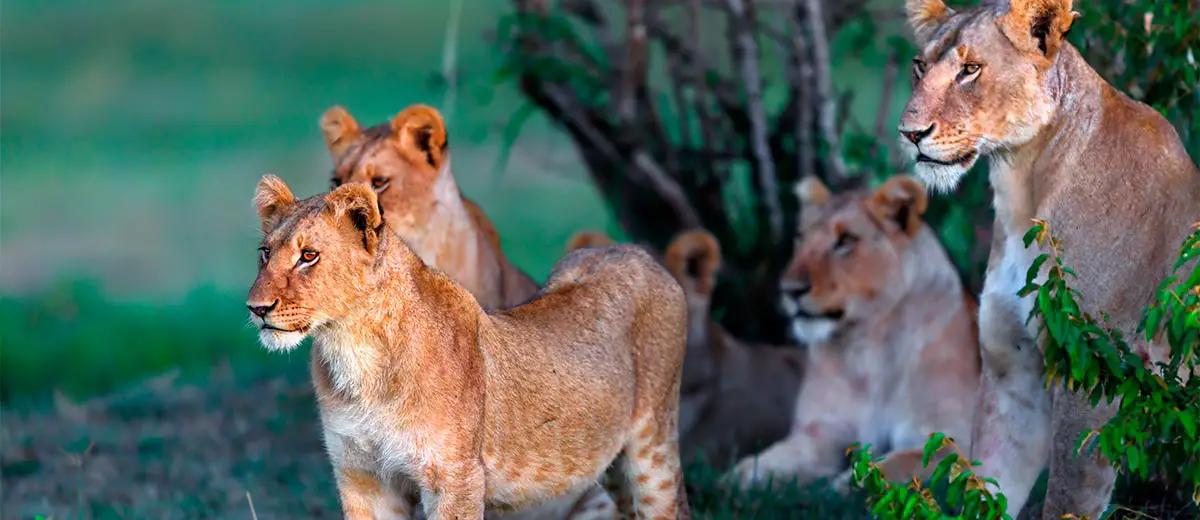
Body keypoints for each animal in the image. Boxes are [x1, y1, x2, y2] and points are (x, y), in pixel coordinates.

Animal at [243, 175, 691, 518]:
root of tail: (635, 252)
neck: (356, 353)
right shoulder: (362, 477)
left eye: (308, 256)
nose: (256, 308)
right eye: (264, 253)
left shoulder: (455, 478)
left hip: (653, 448)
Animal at [724, 174, 979, 489]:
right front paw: (731, 480)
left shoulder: (953, 440)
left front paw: (839, 486)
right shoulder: (821, 431)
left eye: (845, 241)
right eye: (801, 238)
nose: (791, 290)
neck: (865, 347)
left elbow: (890, 466)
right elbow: (766, 461)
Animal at [902, 0, 1200, 513]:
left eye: (970, 69)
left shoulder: (1099, 373)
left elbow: (1066, 498)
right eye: (921, 66)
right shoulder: (1012, 373)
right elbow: (987, 487)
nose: (909, 133)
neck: (1021, 188)